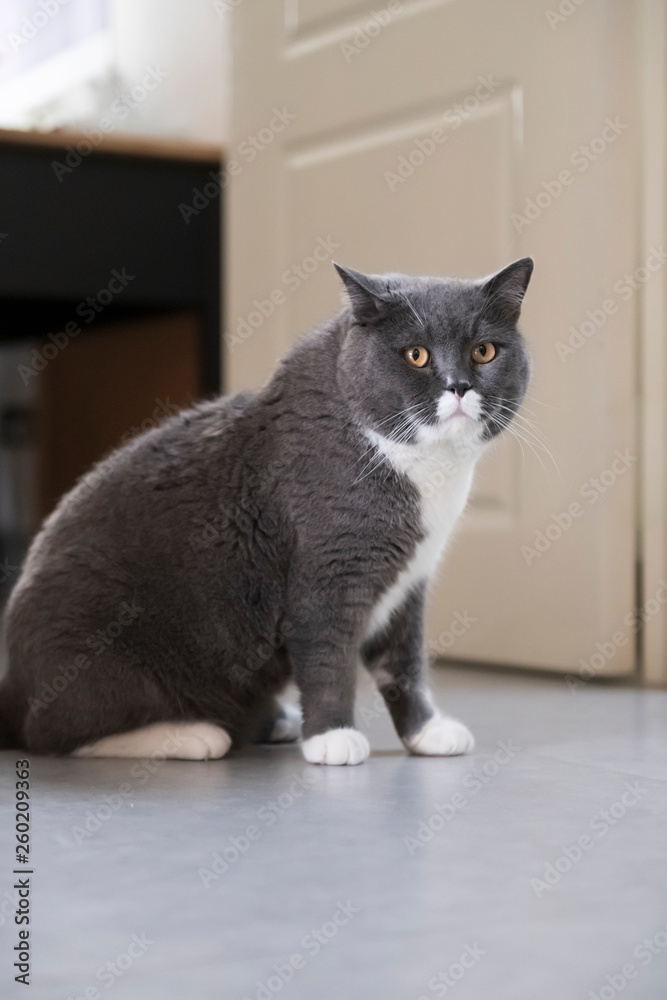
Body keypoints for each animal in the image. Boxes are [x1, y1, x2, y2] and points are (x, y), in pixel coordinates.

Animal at [0, 258, 532, 764]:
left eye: (484, 351)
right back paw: (191, 734)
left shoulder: (409, 583)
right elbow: (328, 657)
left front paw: (426, 732)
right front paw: (332, 738)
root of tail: (13, 687)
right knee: (55, 732)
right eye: (416, 355)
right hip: (96, 654)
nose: (458, 385)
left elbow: (404, 663)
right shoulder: (330, 571)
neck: (426, 470)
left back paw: (272, 722)